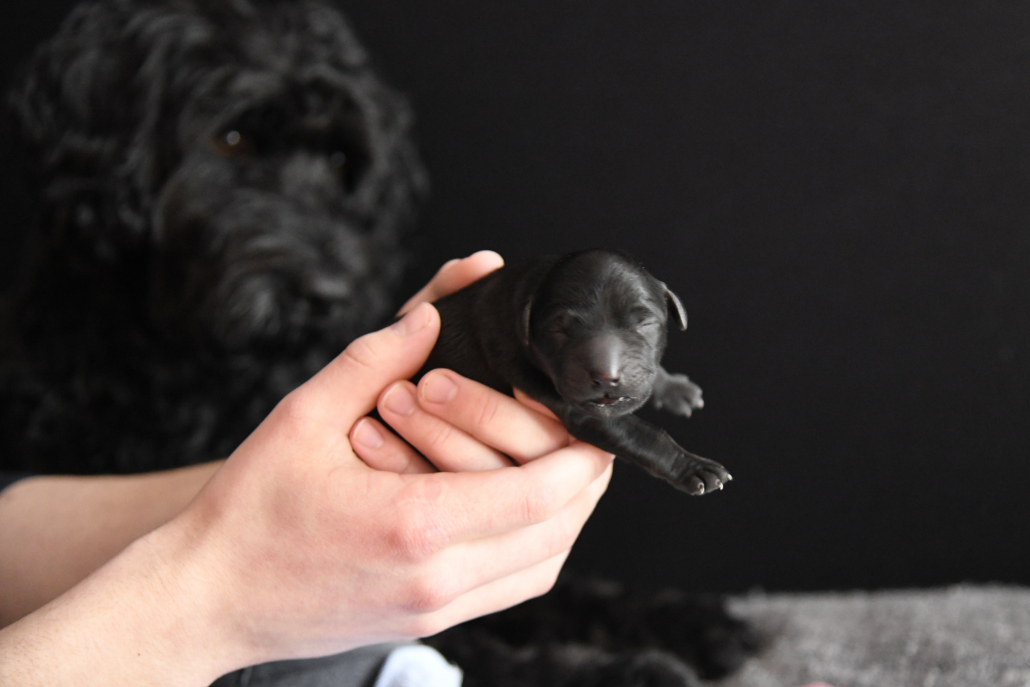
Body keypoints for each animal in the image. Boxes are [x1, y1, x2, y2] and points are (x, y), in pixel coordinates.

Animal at [422, 249, 730, 494]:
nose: (606, 377)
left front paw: (673, 388)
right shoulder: (576, 407)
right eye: (560, 330)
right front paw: (693, 466)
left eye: (644, 323)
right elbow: (640, 434)